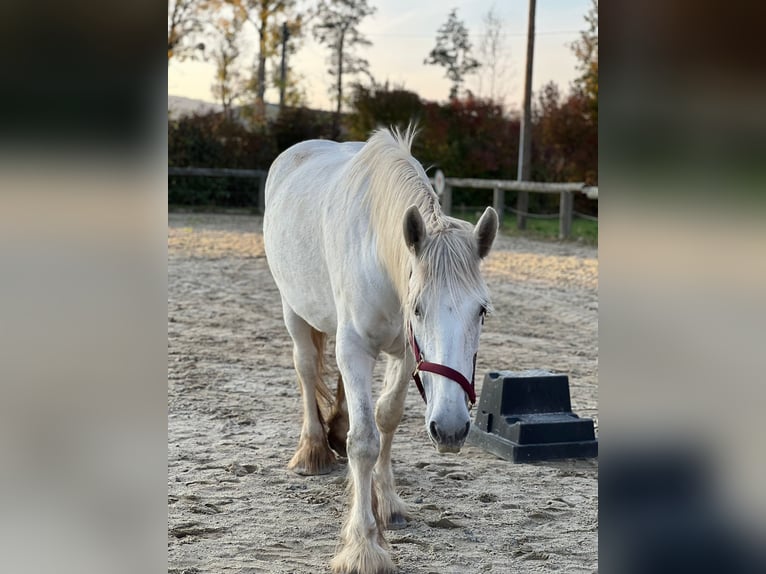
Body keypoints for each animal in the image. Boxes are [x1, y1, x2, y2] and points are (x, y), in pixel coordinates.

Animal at [263, 126, 498, 574]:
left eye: (481, 310)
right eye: (418, 308)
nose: (452, 429)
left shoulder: (404, 354)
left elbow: (386, 418)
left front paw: (387, 504)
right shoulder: (355, 346)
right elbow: (365, 441)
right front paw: (364, 546)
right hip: (292, 310)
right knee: (306, 369)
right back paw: (314, 450)